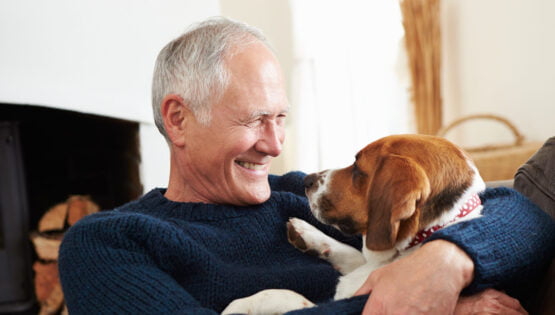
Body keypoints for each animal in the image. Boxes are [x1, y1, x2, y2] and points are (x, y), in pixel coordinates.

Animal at [222, 135, 486, 314]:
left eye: (358, 169)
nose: (307, 180)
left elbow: (286, 295)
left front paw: (242, 304)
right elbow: (349, 252)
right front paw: (307, 233)